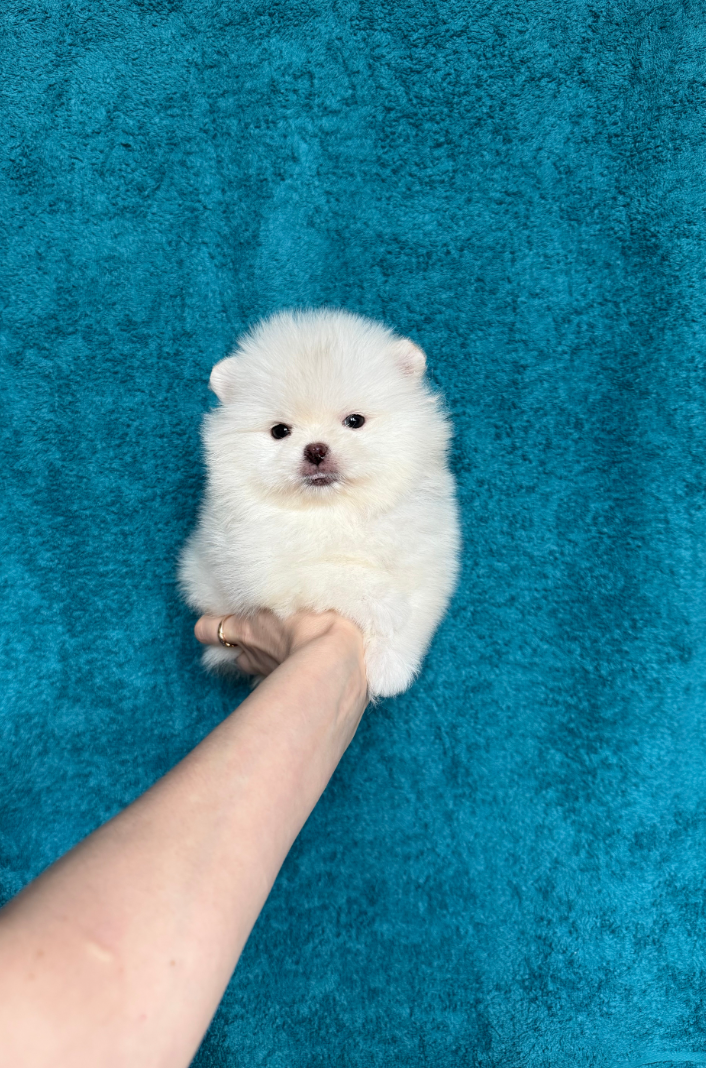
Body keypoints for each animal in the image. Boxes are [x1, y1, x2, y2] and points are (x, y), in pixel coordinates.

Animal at [179, 308, 460, 698]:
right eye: (280, 431)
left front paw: (390, 667)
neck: (336, 510)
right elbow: (330, 570)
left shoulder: (427, 556)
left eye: (354, 421)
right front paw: (383, 602)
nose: (315, 449)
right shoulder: (259, 566)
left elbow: (418, 609)